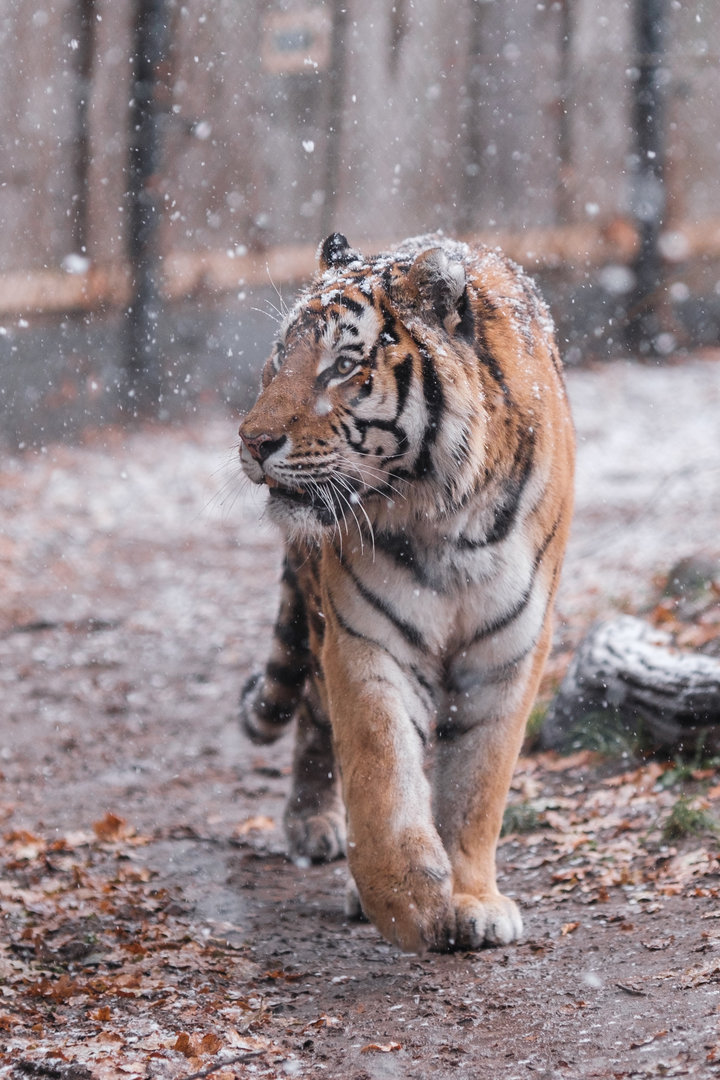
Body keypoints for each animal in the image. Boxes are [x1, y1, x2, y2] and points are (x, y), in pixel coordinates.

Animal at [237, 232, 574, 953]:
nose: (252, 442)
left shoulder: (510, 653)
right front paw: (411, 902)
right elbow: (381, 773)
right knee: (314, 719)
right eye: (280, 356)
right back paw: (312, 827)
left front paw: (471, 900)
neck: (447, 520)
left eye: (341, 365)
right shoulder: (366, 639)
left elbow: (477, 789)